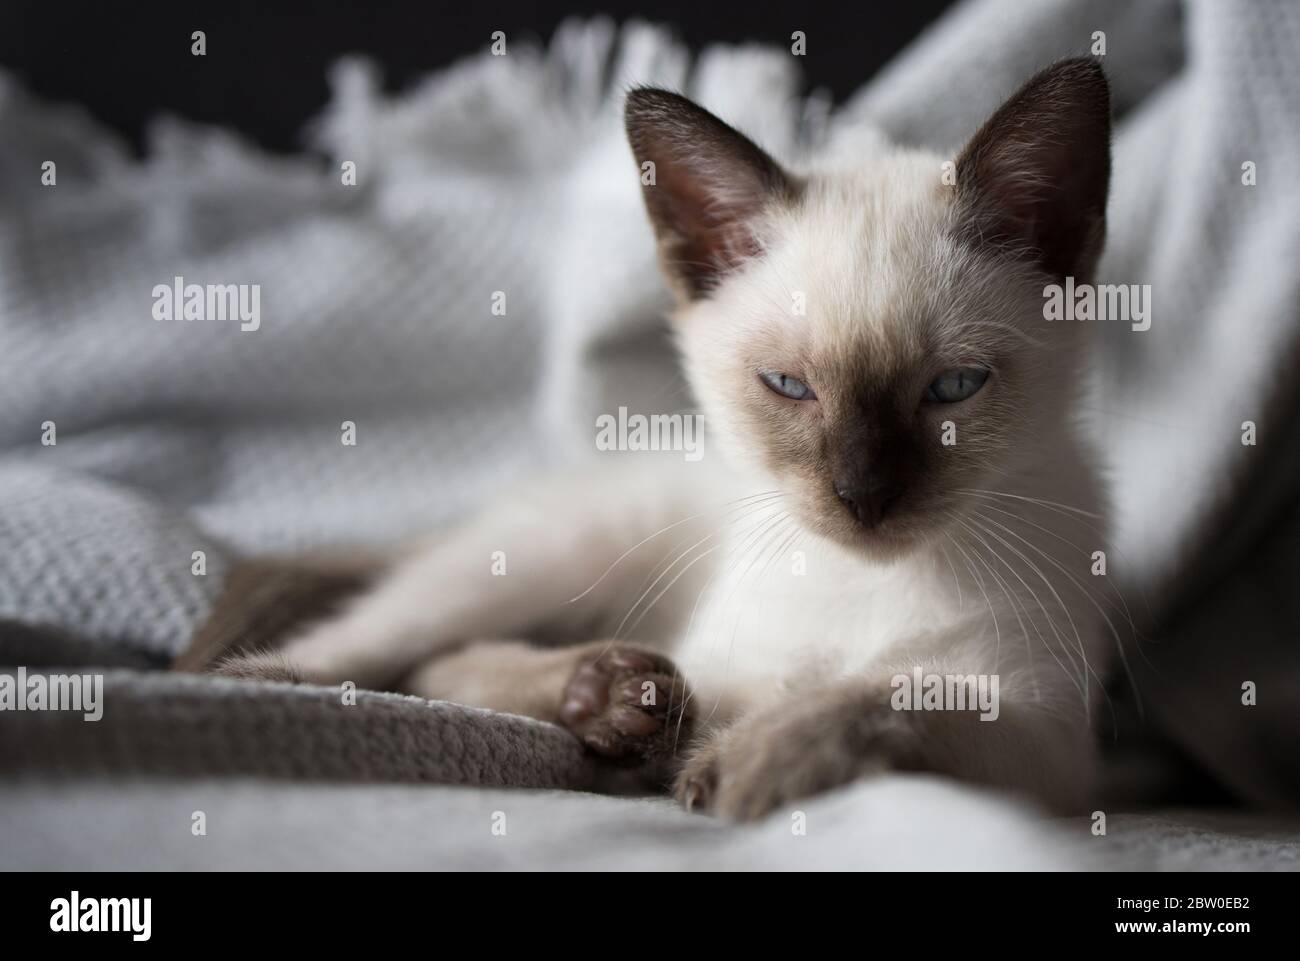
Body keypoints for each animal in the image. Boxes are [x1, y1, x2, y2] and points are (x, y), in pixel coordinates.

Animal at [218, 58, 1112, 821]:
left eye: (953, 388)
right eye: (789, 386)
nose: (865, 498)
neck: (863, 583)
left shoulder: (1049, 737)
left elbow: (887, 697)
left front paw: (751, 762)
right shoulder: (728, 668)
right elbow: (763, 705)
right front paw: (689, 747)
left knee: (442, 661)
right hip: (559, 552)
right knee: (399, 644)